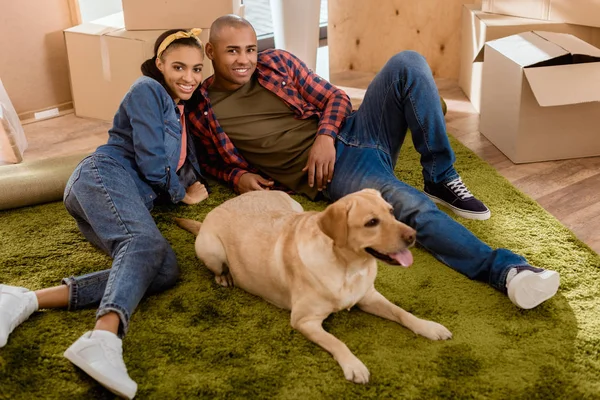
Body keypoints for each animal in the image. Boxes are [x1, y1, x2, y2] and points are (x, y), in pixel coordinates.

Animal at [176, 189, 452, 382]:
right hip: (211, 250)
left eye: (392, 211)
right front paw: (353, 365)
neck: (348, 268)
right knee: (217, 268)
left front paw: (428, 327)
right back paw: (224, 277)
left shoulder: (369, 296)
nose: (413, 236)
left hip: (294, 205)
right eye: (372, 222)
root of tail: (218, 207)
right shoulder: (304, 320)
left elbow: (402, 312)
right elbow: (336, 342)